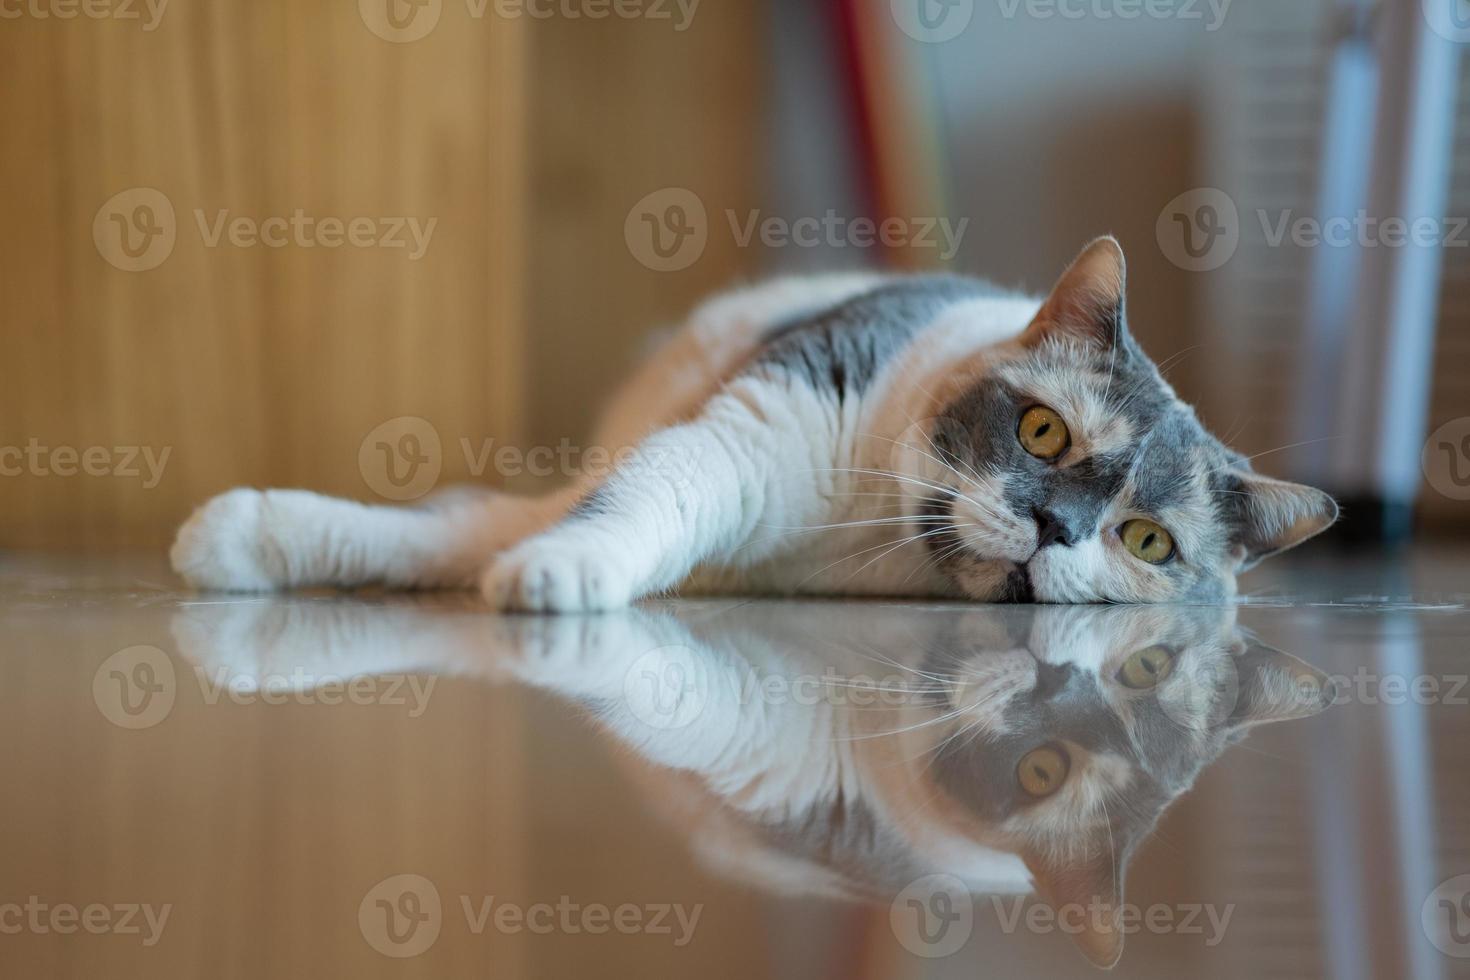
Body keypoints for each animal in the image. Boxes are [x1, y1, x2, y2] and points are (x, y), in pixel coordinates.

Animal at [166, 235, 1340, 608]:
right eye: (1044, 432)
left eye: (1147, 541)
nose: (1056, 529)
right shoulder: (739, 430)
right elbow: (504, 520)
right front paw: (240, 538)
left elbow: (476, 532)